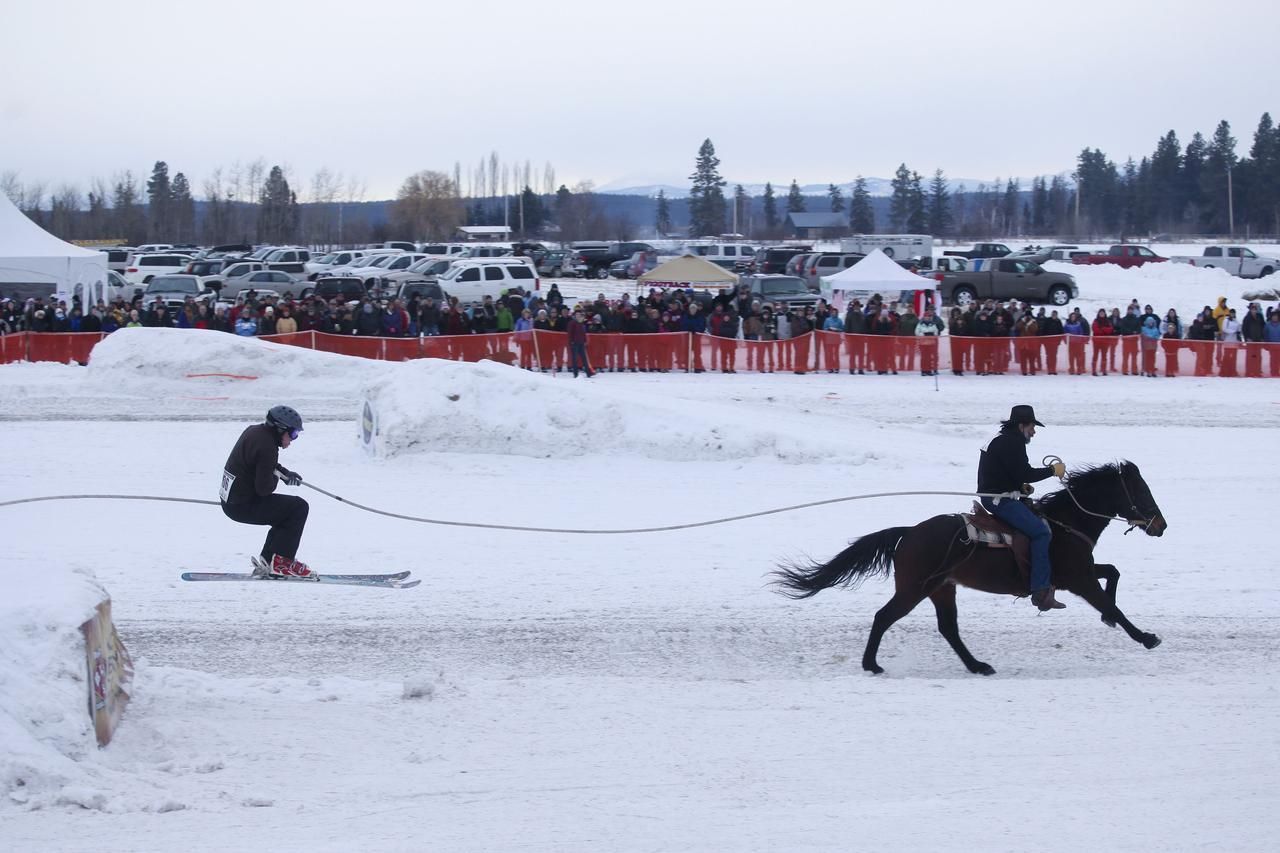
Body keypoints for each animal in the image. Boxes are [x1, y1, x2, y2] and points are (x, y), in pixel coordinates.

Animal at [768, 461, 1172, 676]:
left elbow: (1113, 574)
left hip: (941, 588)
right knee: (884, 617)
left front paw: (1115, 622)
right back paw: (872, 665)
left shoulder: (1078, 573)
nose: (1161, 525)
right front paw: (1145, 637)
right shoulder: (1079, 578)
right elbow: (1111, 604)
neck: (1064, 524)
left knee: (948, 628)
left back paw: (977, 665)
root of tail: (908, 532)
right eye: (1141, 491)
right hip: (914, 588)